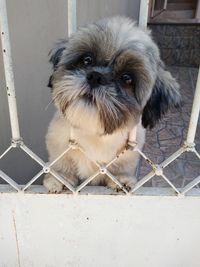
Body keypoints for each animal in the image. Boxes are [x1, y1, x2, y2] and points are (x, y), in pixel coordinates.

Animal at [43, 16, 180, 193]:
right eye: (86, 60)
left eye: (127, 78)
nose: (95, 76)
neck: (94, 132)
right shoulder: (59, 144)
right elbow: (61, 163)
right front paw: (60, 179)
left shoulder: (129, 152)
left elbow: (122, 167)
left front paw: (121, 179)